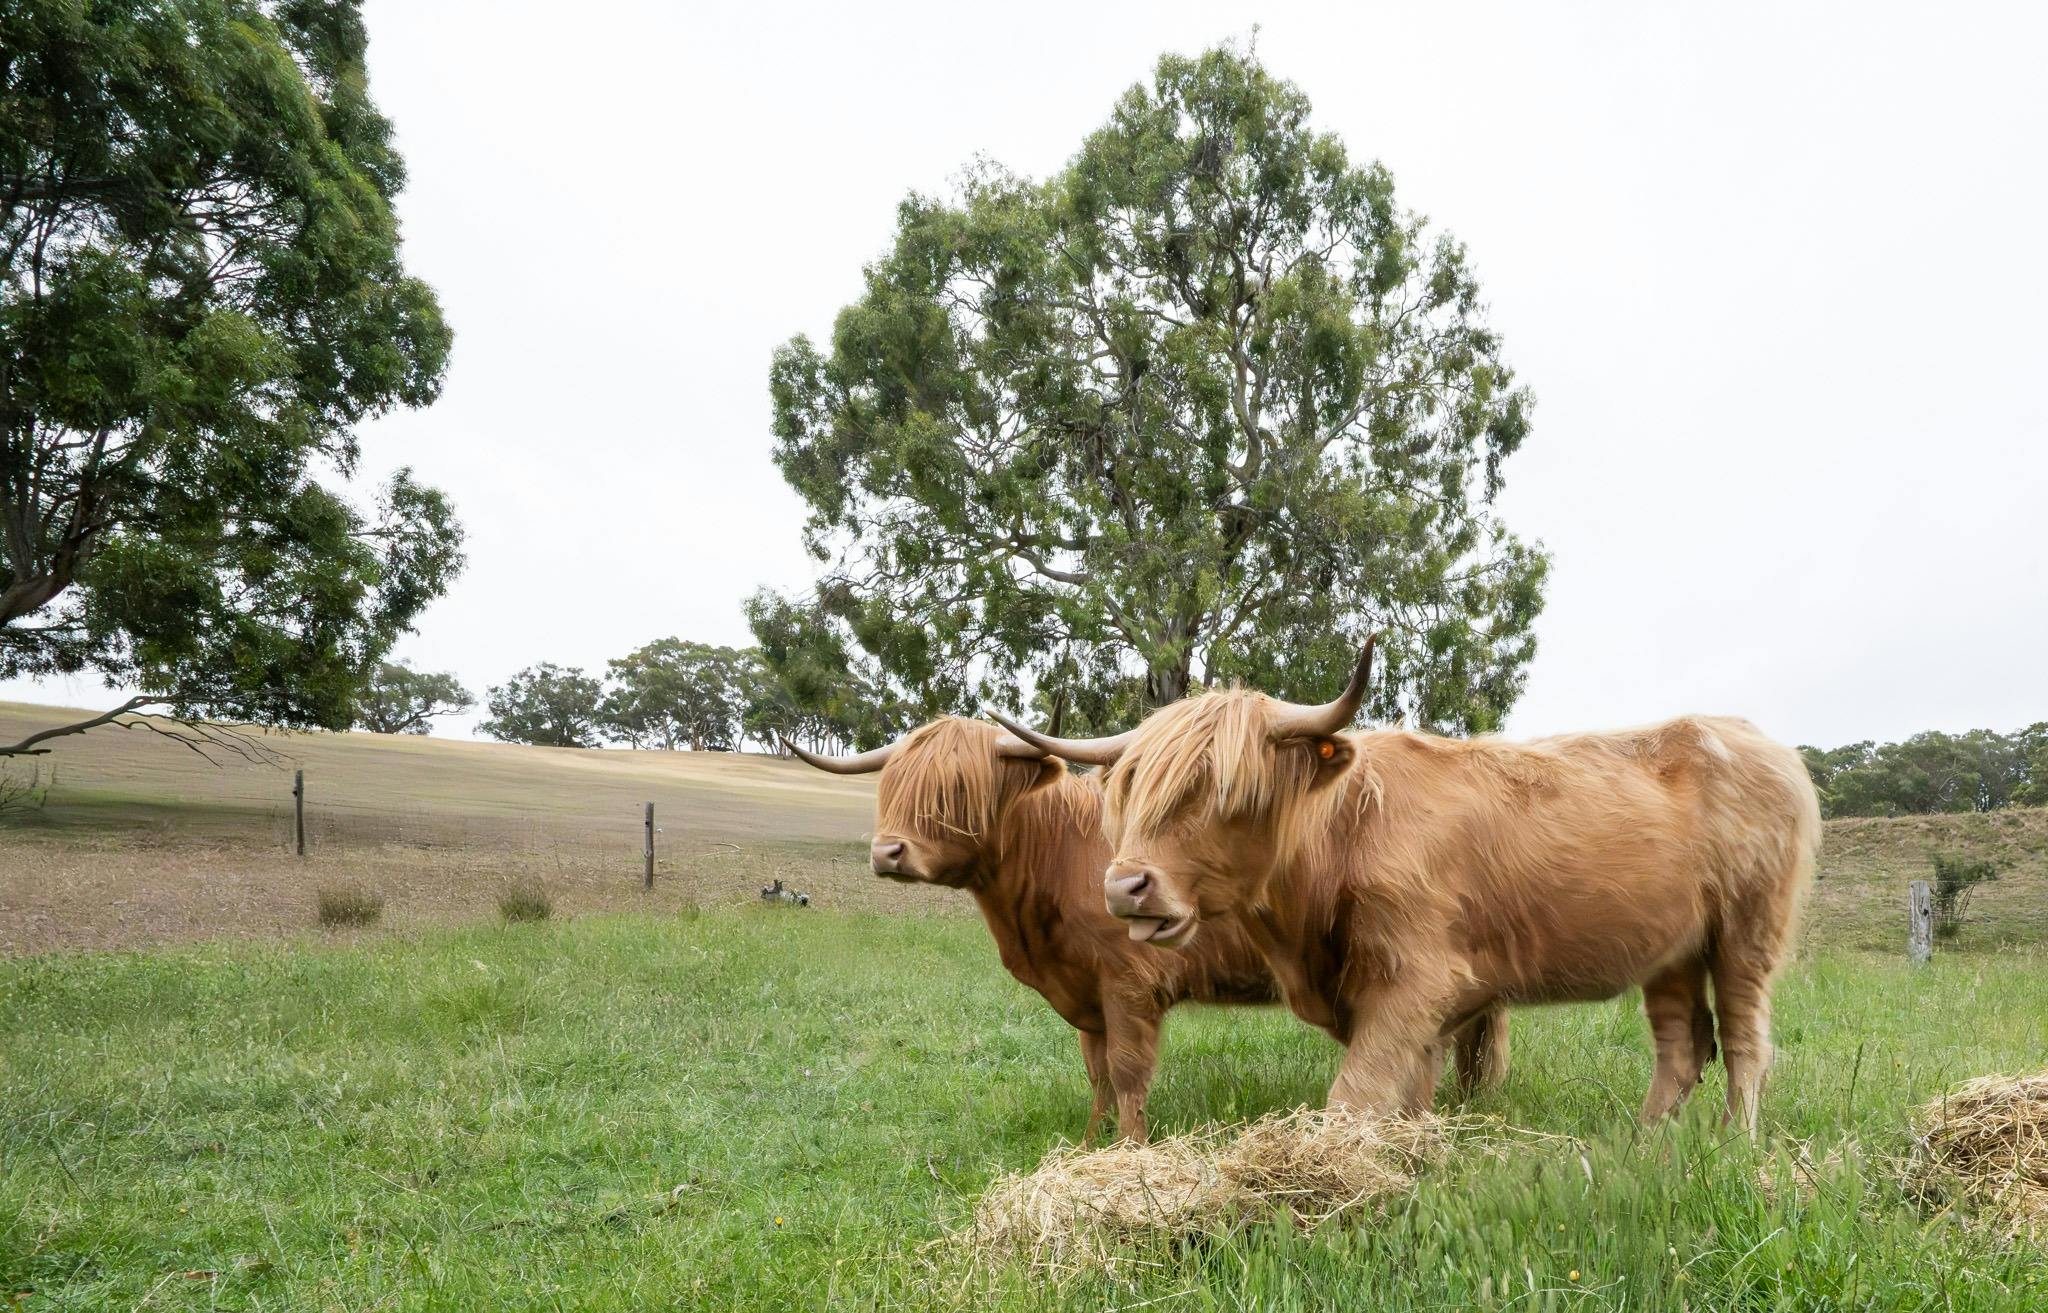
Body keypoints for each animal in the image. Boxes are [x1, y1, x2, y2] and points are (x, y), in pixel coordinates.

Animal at [786, 715, 1508, 1141]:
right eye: (892, 785)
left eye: (960, 790)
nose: (887, 852)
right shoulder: (1084, 995)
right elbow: (1098, 1074)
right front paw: (1090, 1142)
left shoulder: (1128, 983)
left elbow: (1129, 1071)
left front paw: (1129, 1147)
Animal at [992, 638, 1820, 1132]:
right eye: (1132, 791)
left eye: (1231, 793)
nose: (1126, 886)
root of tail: (1759, 740)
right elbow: (1407, 1096)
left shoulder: (1415, 980)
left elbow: (1352, 1096)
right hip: (1672, 950)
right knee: (1682, 1043)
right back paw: (1644, 1143)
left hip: (1746, 934)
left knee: (1744, 1040)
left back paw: (1734, 1146)